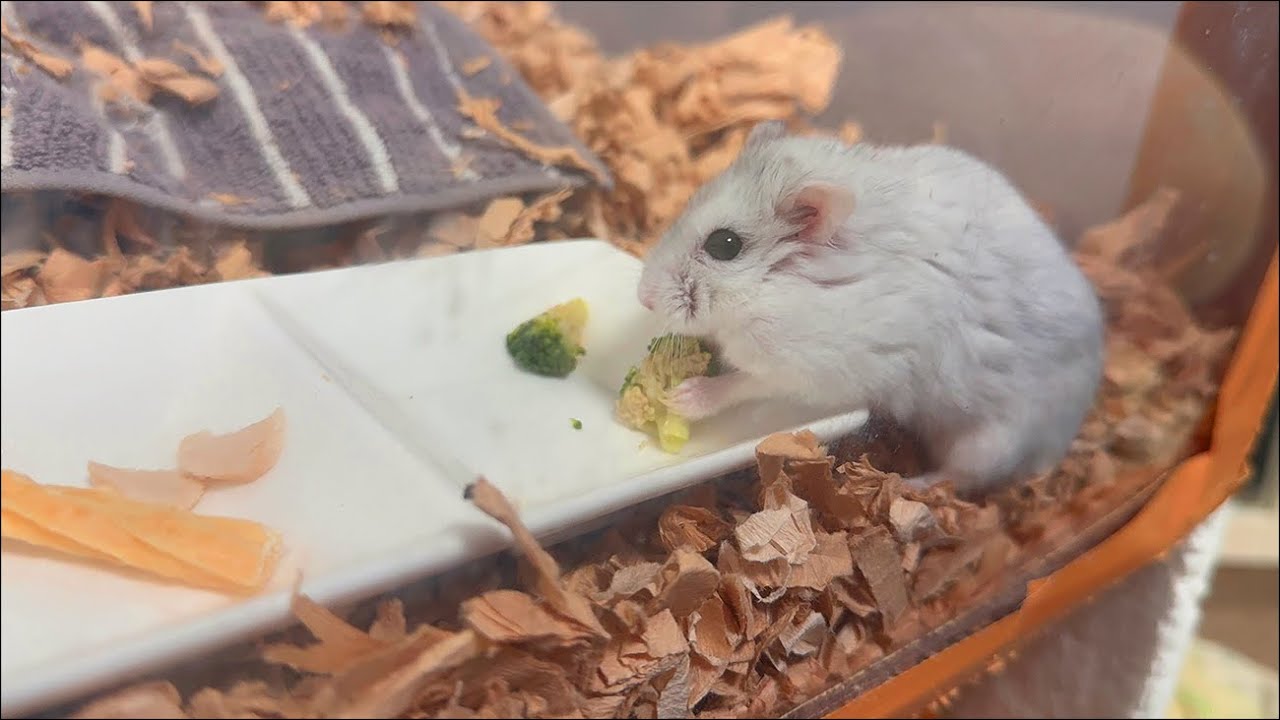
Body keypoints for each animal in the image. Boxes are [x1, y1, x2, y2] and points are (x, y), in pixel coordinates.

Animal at [636, 121, 1105, 498]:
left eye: (725, 244)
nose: (643, 297)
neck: (780, 286)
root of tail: (1067, 433)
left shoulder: (807, 367)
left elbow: (744, 383)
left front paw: (682, 397)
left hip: (991, 441)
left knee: (961, 477)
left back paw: (912, 485)